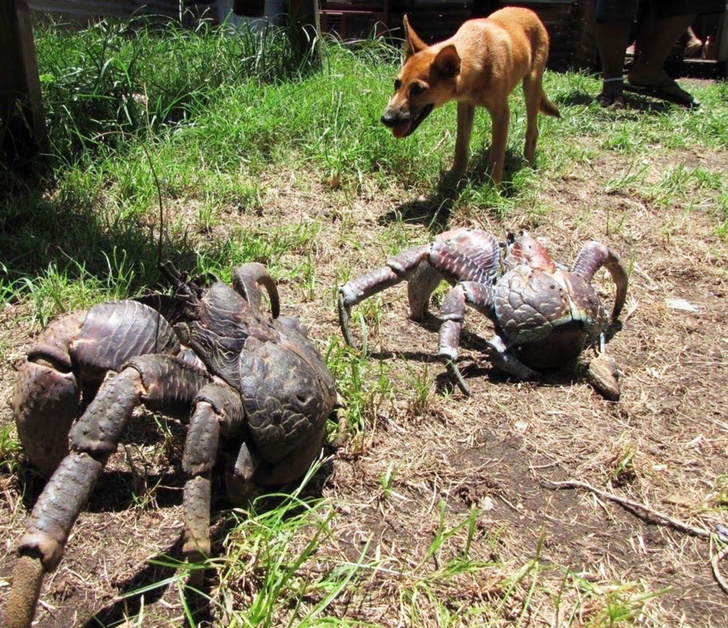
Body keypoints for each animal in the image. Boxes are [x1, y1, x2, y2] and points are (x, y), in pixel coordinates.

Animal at [384, 7, 560, 184]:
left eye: (418, 89)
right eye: (397, 83)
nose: (386, 119)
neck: (480, 58)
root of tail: (527, 10)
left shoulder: (501, 113)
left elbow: (497, 155)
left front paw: (492, 186)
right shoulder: (465, 106)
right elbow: (461, 145)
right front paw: (455, 177)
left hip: (531, 87)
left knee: (532, 131)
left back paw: (527, 165)